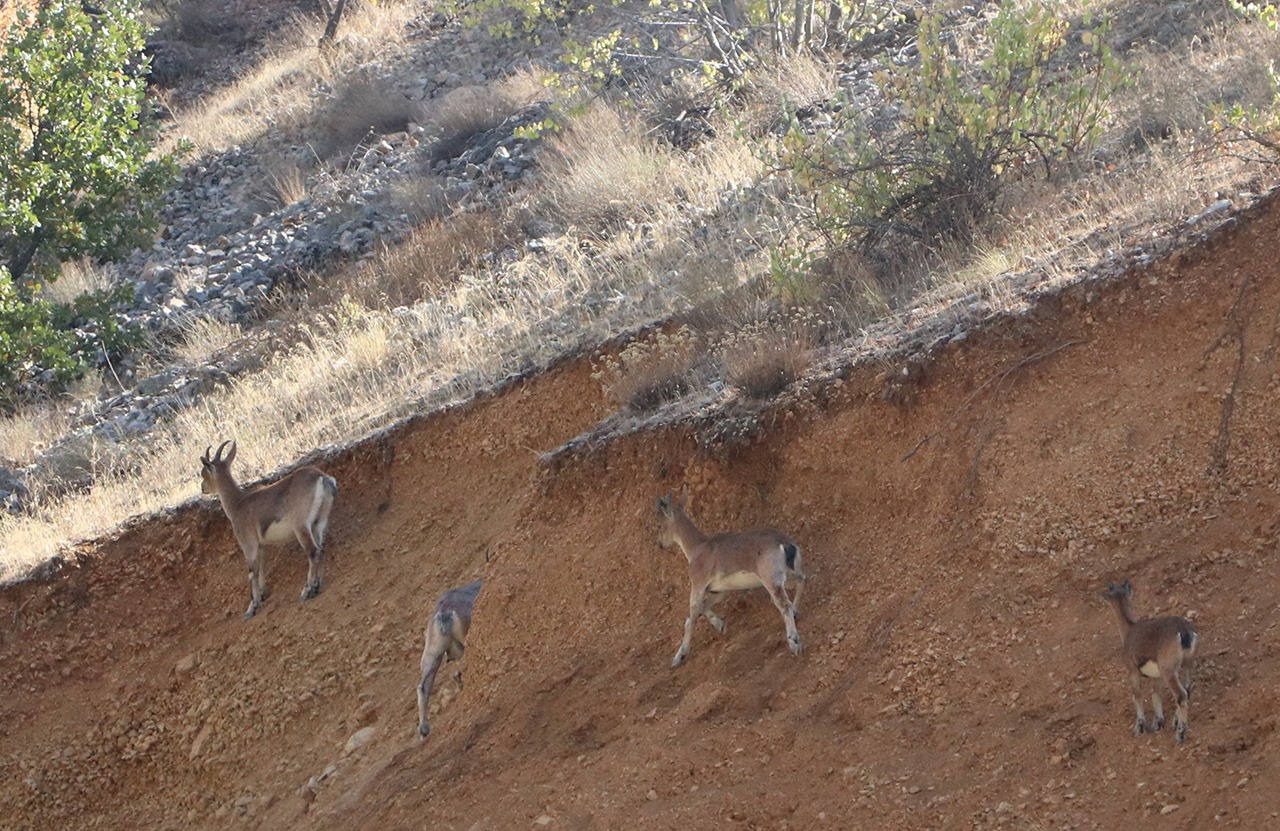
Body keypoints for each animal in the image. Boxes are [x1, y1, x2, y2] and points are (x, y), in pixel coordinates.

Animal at [199, 440, 340, 614]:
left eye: (204, 473)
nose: (203, 487)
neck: (237, 504)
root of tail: (322, 477)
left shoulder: (249, 544)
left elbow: (252, 571)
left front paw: (252, 607)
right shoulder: (264, 545)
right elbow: (262, 567)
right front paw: (263, 594)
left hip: (301, 526)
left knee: (313, 552)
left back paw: (307, 590)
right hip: (319, 523)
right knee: (321, 548)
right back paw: (316, 587)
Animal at [655, 486, 803, 665]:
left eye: (659, 525)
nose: (660, 544)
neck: (696, 548)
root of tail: (785, 544)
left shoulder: (698, 584)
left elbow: (691, 617)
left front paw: (679, 656)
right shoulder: (721, 590)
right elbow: (704, 606)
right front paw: (720, 624)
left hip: (771, 579)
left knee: (784, 604)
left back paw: (794, 642)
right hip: (788, 574)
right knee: (802, 580)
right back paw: (796, 613)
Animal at [1100, 581, 1198, 742]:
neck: (1129, 631)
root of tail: (1185, 633)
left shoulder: (1133, 670)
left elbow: (1137, 694)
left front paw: (1139, 727)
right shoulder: (1157, 676)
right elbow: (1155, 695)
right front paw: (1157, 724)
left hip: (1168, 670)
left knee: (1181, 695)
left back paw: (1180, 734)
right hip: (1186, 666)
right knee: (1187, 690)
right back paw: (1175, 723)